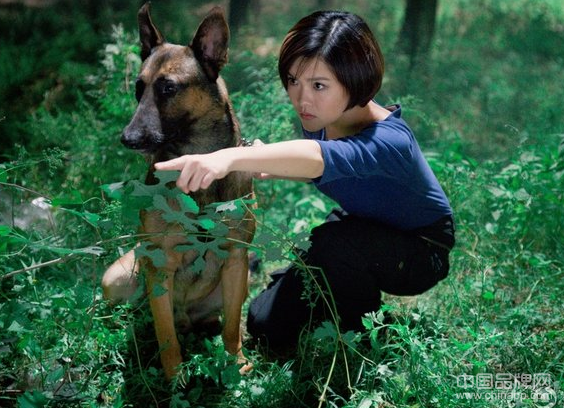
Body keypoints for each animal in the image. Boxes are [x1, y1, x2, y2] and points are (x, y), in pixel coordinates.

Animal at [102, 2, 256, 380]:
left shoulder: (236, 260)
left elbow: (232, 324)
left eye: (168, 88)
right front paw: (174, 376)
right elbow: (166, 334)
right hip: (117, 276)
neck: (199, 168)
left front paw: (236, 361)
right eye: (138, 87)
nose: (127, 139)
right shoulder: (159, 267)